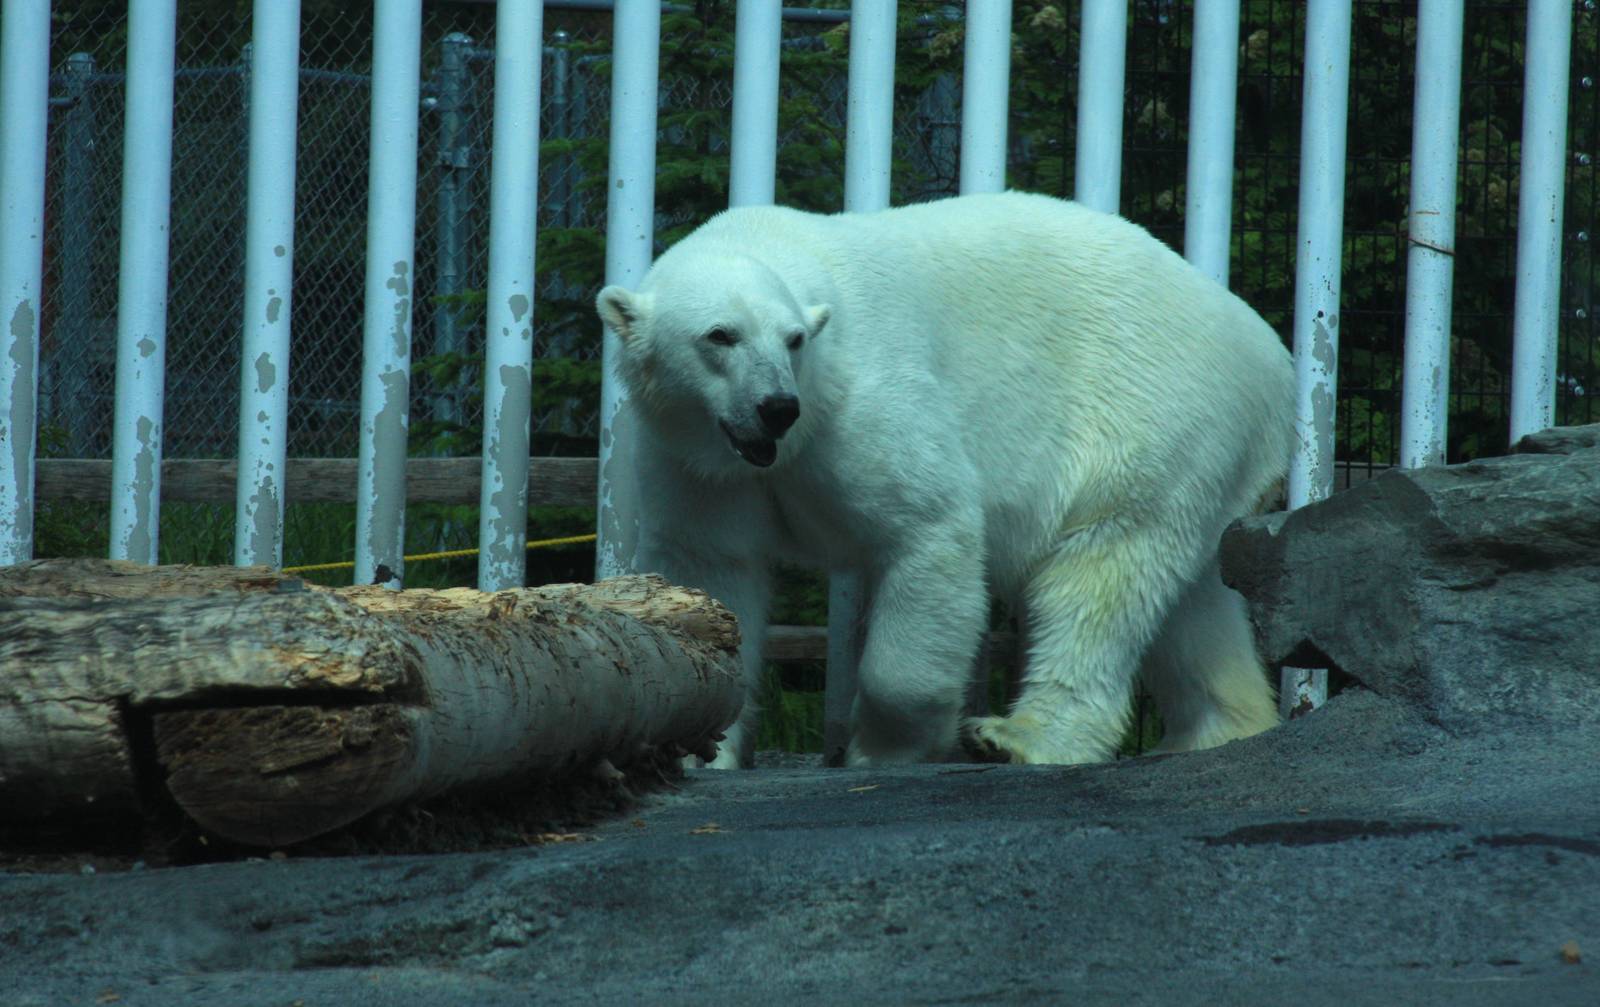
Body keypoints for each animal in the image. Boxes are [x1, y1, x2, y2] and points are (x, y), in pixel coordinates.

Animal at [596, 191, 1294, 769]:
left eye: (793, 340)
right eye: (720, 335)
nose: (776, 406)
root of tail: (1272, 359)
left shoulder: (861, 406)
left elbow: (929, 528)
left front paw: (885, 748)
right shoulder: (694, 462)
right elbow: (713, 571)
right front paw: (701, 751)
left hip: (1146, 412)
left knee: (1101, 573)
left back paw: (1020, 737)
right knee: (1187, 606)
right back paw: (1223, 725)